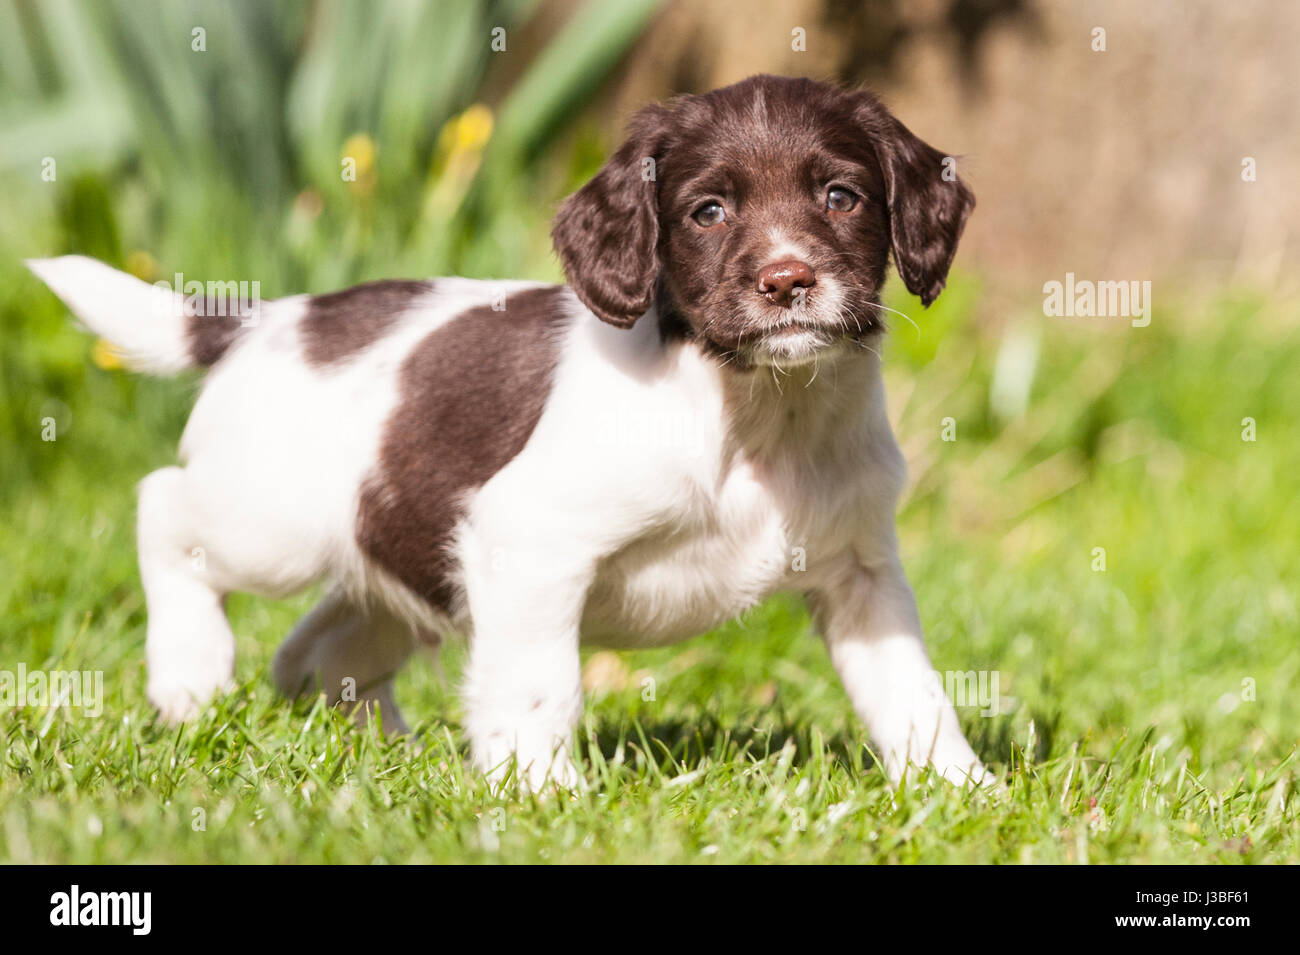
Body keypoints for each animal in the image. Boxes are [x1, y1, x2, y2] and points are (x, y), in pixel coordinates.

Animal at [27, 72, 982, 789]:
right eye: (708, 211)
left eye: (842, 196)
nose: (788, 281)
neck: (752, 409)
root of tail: (263, 319)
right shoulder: (530, 544)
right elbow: (538, 683)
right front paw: (539, 790)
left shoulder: (860, 570)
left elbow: (913, 693)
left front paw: (960, 790)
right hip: (270, 523)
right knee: (165, 508)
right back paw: (190, 670)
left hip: (407, 549)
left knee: (319, 646)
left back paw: (384, 750)